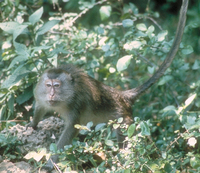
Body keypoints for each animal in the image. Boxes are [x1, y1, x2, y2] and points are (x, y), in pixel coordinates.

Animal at [26, 0, 189, 170]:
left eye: (56, 86)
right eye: (48, 85)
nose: (51, 94)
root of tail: (122, 96)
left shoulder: (77, 103)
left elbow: (71, 128)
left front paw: (51, 163)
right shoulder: (41, 95)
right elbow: (41, 107)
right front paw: (33, 124)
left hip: (123, 118)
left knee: (125, 137)